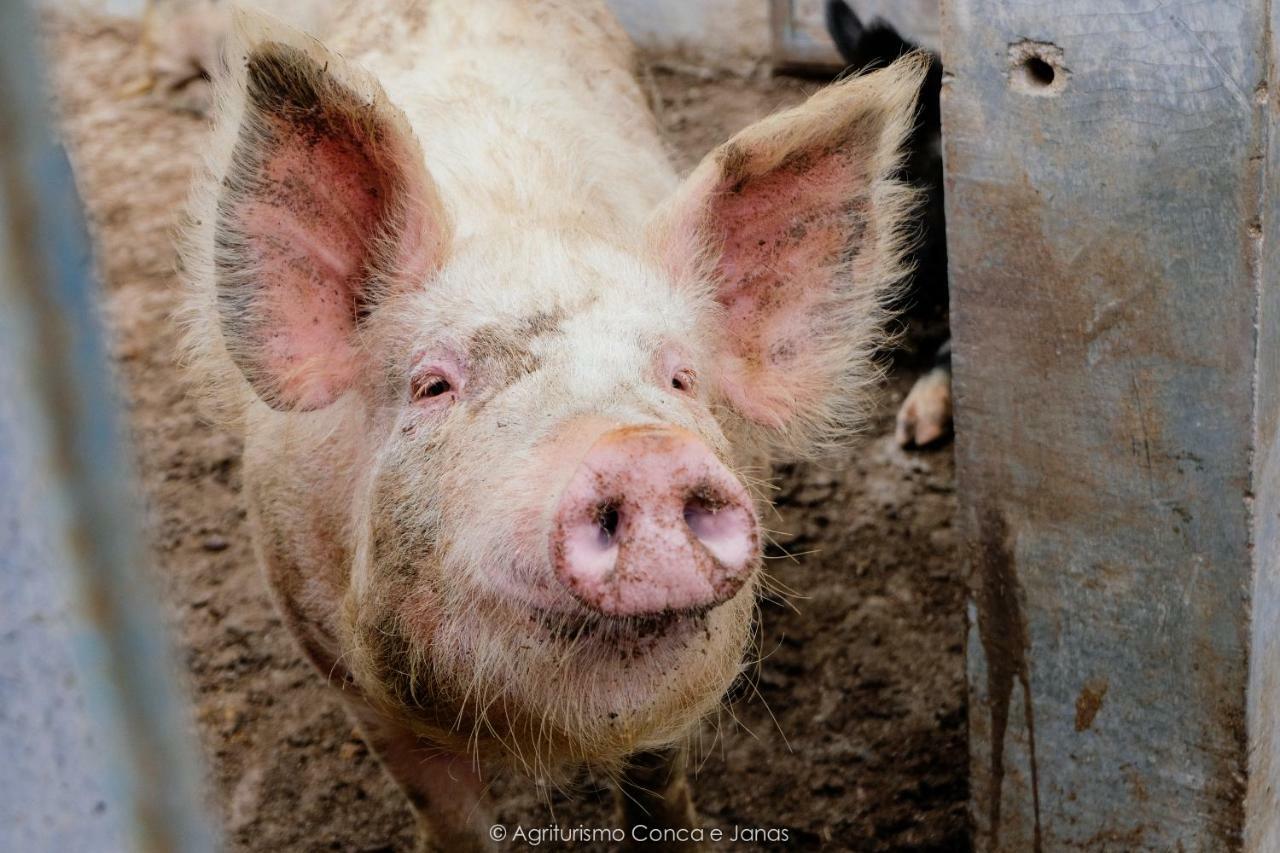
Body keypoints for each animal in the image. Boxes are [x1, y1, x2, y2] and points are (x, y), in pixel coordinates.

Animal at [180, 3, 926, 845]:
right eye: (432, 385)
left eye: (681, 378)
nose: (641, 452)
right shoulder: (334, 659)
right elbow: (446, 811)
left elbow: (656, 779)